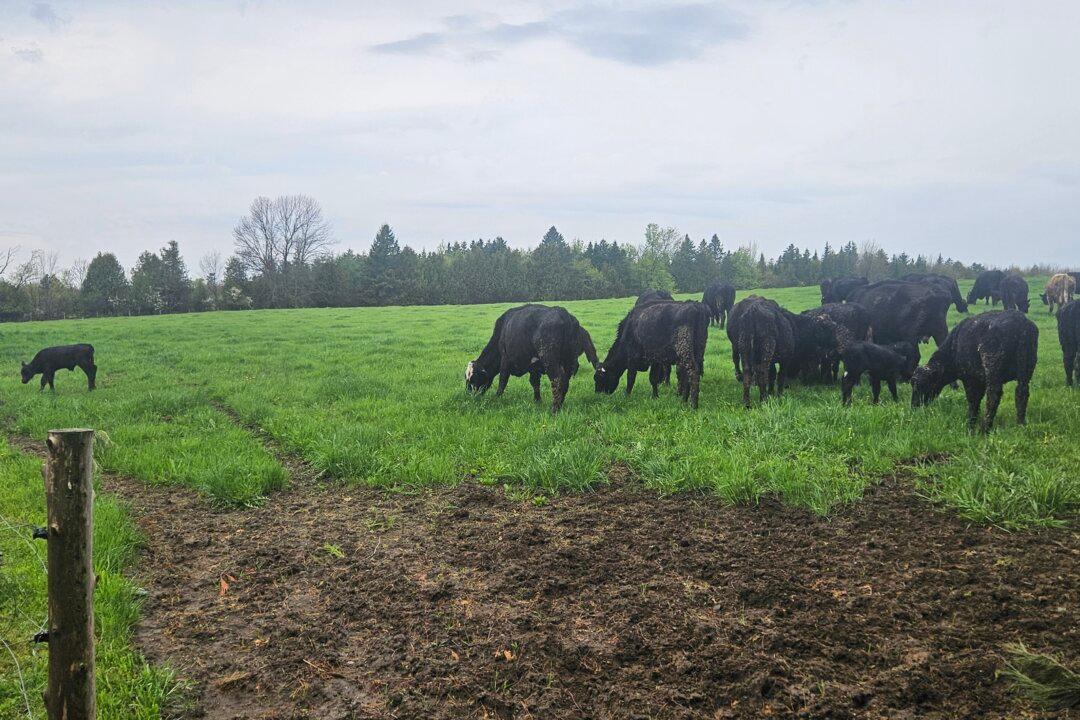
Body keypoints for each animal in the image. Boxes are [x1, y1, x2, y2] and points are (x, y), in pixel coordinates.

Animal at [466, 304, 598, 414]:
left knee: (558, 380)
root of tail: (564, 314)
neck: (501, 332)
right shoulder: (534, 367)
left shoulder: (505, 359)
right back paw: (560, 405)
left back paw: (554, 410)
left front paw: (496, 398)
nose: (470, 396)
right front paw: (537, 400)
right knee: (565, 382)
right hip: (568, 362)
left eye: (473, 379)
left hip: (550, 360)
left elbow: (502, 381)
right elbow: (535, 383)